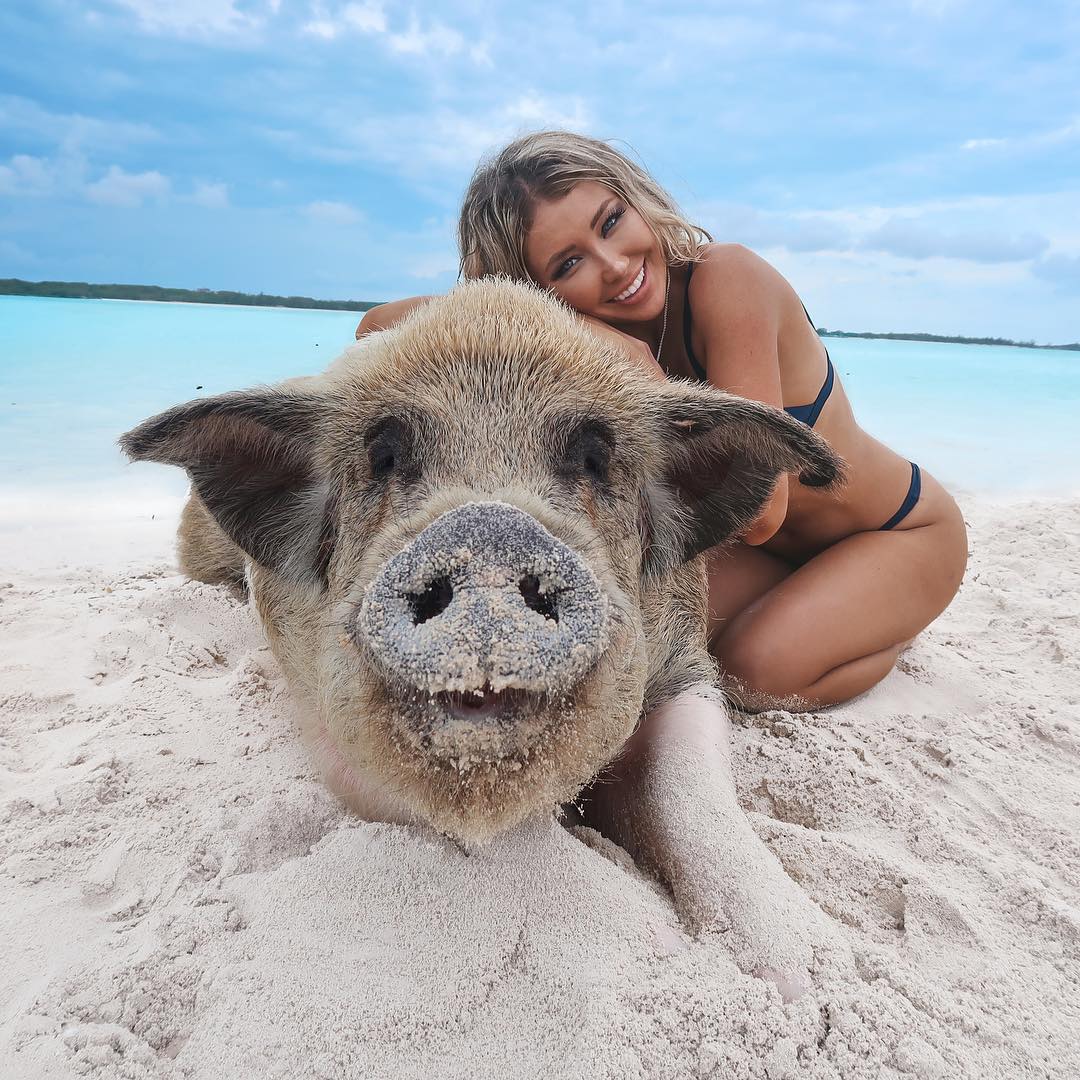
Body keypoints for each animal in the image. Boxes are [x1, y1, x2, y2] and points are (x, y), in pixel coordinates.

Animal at [122, 280, 838, 993]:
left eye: (594, 456)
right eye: (383, 456)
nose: (488, 528)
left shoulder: (686, 661)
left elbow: (690, 788)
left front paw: (810, 968)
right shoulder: (323, 712)